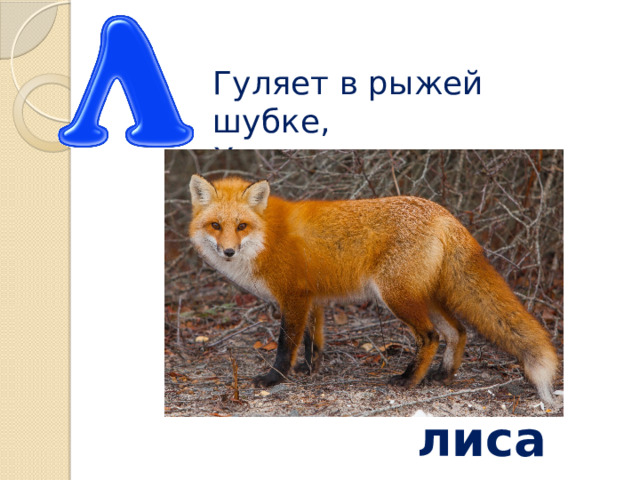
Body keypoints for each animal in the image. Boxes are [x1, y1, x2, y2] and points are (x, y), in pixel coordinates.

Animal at [188, 175, 559, 404]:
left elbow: (285, 345)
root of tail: (444, 213)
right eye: (216, 225)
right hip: (425, 296)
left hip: (396, 296)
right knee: (458, 331)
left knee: (430, 336)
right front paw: (310, 370)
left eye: (241, 226)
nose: (228, 251)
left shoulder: (293, 297)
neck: (266, 236)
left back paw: (409, 380)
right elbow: (313, 342)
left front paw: (273, 378)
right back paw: (443, 376)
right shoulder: (312, 300)